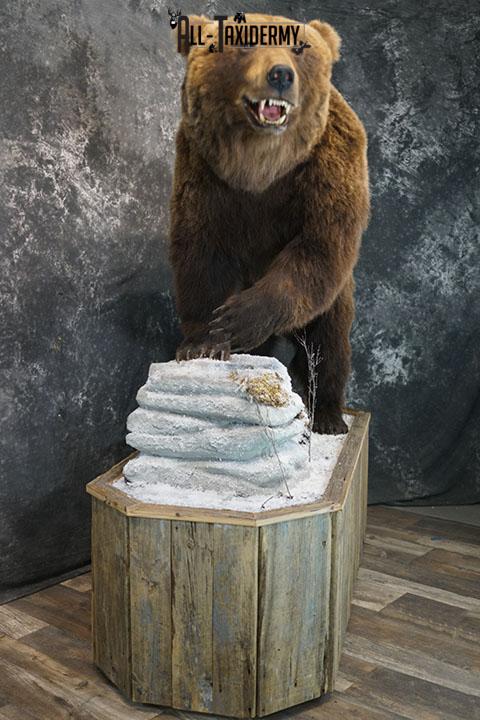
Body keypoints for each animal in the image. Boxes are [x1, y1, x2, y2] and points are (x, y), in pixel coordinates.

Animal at [169, 14, 370, 434]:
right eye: (243, 42)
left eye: (299, 47)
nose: (280, 74)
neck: (261, 165)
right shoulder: (204, 172)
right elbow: (199, 249)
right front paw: (202, 341)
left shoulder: (330, 161)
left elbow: (320, 244)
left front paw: (239, 318)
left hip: (336, 302)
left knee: (330, 344)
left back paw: (328, 416)